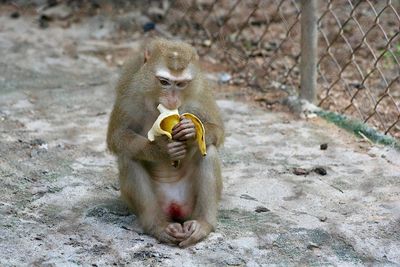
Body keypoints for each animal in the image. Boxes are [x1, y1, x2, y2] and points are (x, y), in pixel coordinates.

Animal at [106, 38, 225, 249]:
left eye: (181, 84)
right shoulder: (130, 91)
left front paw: (190, 133)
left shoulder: (200, 91)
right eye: (164, 82)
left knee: (209, 151)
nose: (172, 100)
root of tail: (175, 206)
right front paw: (161, 149)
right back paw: (157, 226)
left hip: (189, 205)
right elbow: (117, 136)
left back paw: (203, 224)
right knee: (129, 156)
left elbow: (218, 132)